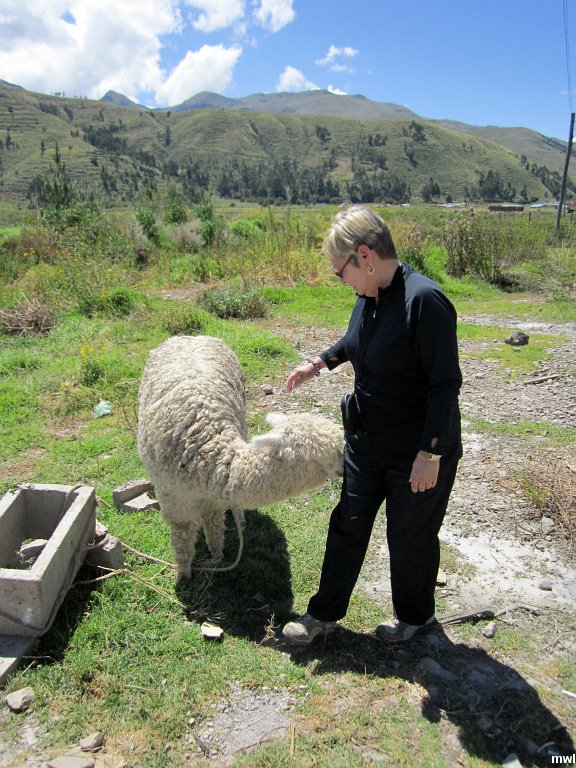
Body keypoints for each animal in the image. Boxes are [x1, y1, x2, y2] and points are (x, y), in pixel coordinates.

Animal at [137, 335, 344, 578]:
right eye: (322, 454)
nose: (344, 466)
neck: (203, 455)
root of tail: (192, 336)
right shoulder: (173, 499)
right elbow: (182, 540)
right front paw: (185, 574)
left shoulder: (213, 498)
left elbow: (214, 529)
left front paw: (216, 559)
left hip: (242, 416)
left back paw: (240, 517)